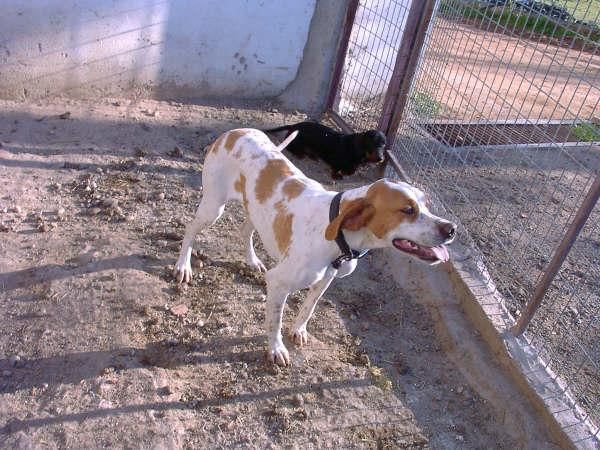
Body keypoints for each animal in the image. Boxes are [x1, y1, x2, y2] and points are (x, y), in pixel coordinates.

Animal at [173, 129, 454, 366]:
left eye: (426, 204)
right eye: (407, 210)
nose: (451, 229)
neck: (337, 232)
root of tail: (233, 132)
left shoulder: (326, 279)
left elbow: (309, 307)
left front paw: (298, 330)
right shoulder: (278, 282)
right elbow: (274, 321)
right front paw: (276, 348)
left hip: (254, 211)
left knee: (244, 231)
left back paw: (252, 260)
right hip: (213, 208)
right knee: (190, 229)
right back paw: (183, 266)